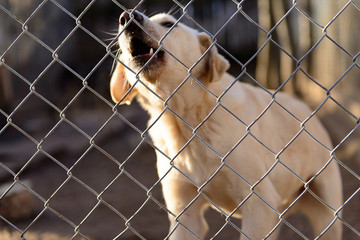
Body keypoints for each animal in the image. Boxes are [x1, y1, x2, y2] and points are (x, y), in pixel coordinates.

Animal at [109, 9, 344, 240]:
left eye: (169, 24)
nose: (127, 17)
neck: (187, 124)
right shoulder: (185, 214)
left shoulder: (258, 203)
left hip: (327, 214)